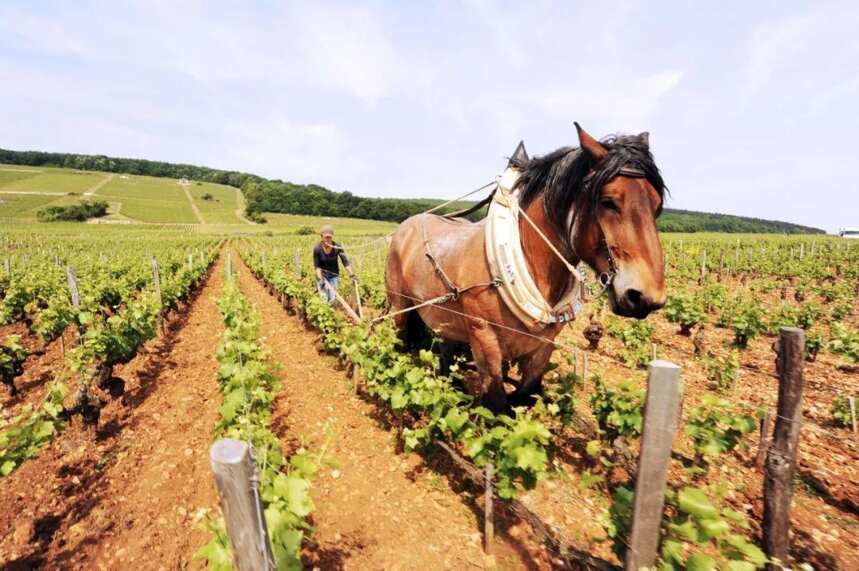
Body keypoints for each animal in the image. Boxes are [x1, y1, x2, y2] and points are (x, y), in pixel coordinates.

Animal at [384, 124, 672, 412]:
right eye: (608, 201)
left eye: (657, 206)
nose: (646, 298)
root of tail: (407, 224)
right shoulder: (484, 339)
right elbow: (497, 405)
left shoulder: (543, 347)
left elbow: (526, 394)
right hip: (400, 307)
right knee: (402, 339)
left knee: (446, 354)